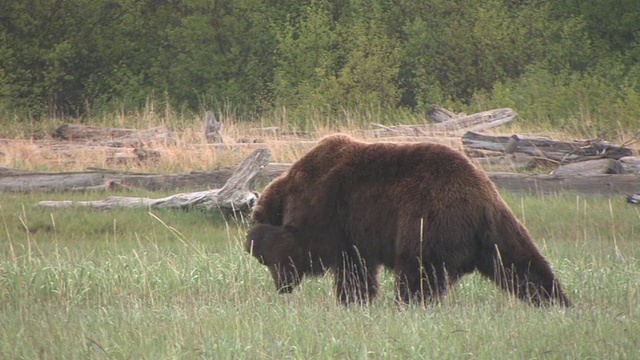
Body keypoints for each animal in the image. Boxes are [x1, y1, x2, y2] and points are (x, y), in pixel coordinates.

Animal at [248, 134, 572, 306]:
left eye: (265, 261)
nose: (282, 287)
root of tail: (479, 200)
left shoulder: (329, 212)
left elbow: (338, 261)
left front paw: (350, 299)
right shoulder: (354, 235)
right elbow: (357, 269)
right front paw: (357, 300)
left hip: (427, 219)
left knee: (418, 270)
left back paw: (408, 304)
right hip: (501, 226)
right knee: (523, 263)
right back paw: (557, 301)